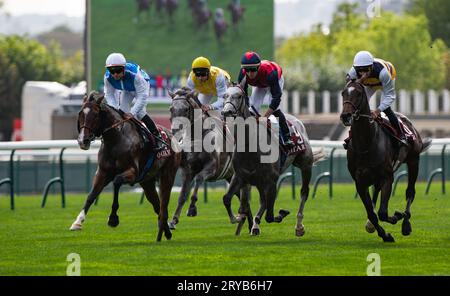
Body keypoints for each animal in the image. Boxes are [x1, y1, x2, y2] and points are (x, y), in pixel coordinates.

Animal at [69, 91, 180, 242]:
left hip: (167, 175)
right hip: (147, 182)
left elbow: (116, 182)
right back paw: (166, 232)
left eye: (96, 114)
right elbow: (91, 195)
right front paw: (77, 222)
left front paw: (113, 219)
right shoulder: (102, 172)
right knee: (157, 205)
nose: (82, 140)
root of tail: (170, 136)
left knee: (164, 203)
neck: (116, 139)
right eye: (80, 113)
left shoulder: (132, 172)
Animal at [168, 87, 255, 231]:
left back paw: (247, 223)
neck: (196, 137)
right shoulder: (187, 170)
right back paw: (241, 221)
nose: (175, 130)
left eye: (186, 109)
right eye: (171, 108)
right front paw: (173, 220)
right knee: (240, 197)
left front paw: (192, 209)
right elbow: (182, 195)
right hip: (230, 176)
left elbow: (198, 179)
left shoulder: (212, 168)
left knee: (245, 197)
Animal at [221, 84, 324, 236]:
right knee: (263, 201)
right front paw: (238, 218)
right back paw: (255, 225)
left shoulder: (271, 180)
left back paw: (299, 226)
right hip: (258, 181)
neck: (250, 145)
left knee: (304, 192)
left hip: (306, 165)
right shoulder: (240, 176)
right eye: (225, 95)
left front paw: (281, 213)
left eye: (239, 96)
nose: (226, 111)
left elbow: (270, 216)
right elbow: (227, 198)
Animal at [342, 80, 432, 242]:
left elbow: (383, 212)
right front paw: (384, 234)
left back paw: (406, 223)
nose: (345, 116)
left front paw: (397, 216)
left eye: (358, 93)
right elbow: (372, 213)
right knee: (376, 195)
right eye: (343, 93)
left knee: (410, 192)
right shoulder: (360, 182)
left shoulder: (387, 177)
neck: (366, 143)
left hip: (414, 160)